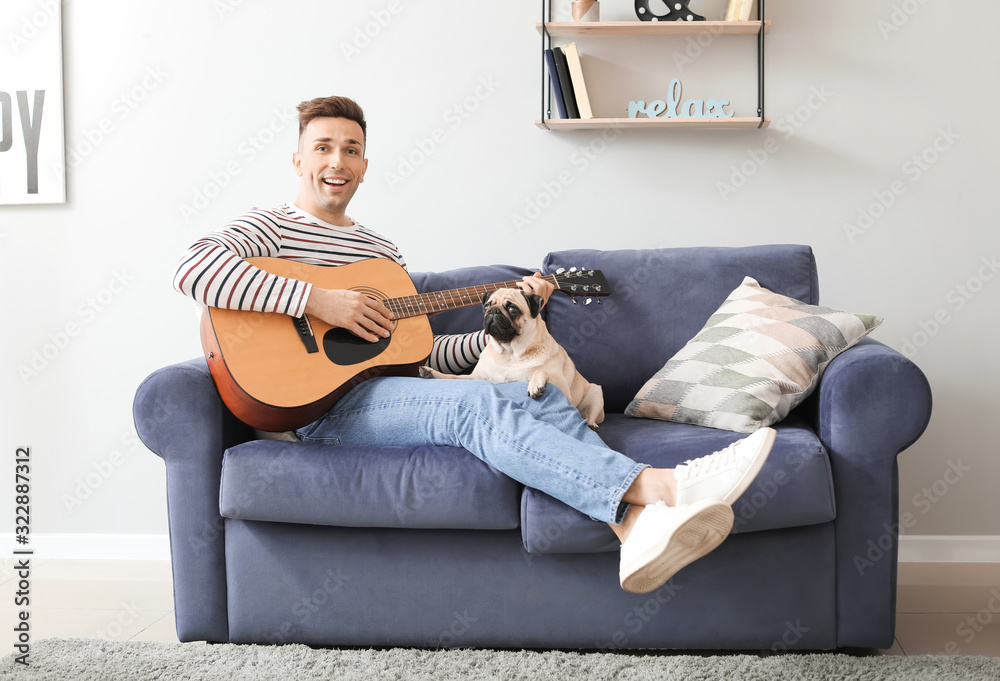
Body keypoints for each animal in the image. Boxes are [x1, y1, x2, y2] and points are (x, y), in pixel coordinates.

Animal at [418, 286, 604, 430]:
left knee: (591, 415)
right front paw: (431, 373)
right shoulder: (477, 378)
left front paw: (535, 384)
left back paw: (591, 424)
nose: (493, 311)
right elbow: (452, 377)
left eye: (513, 310)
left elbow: (540, 371)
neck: (510, 353)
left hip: (595, 393)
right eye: (487, 306)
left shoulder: (563, 388)